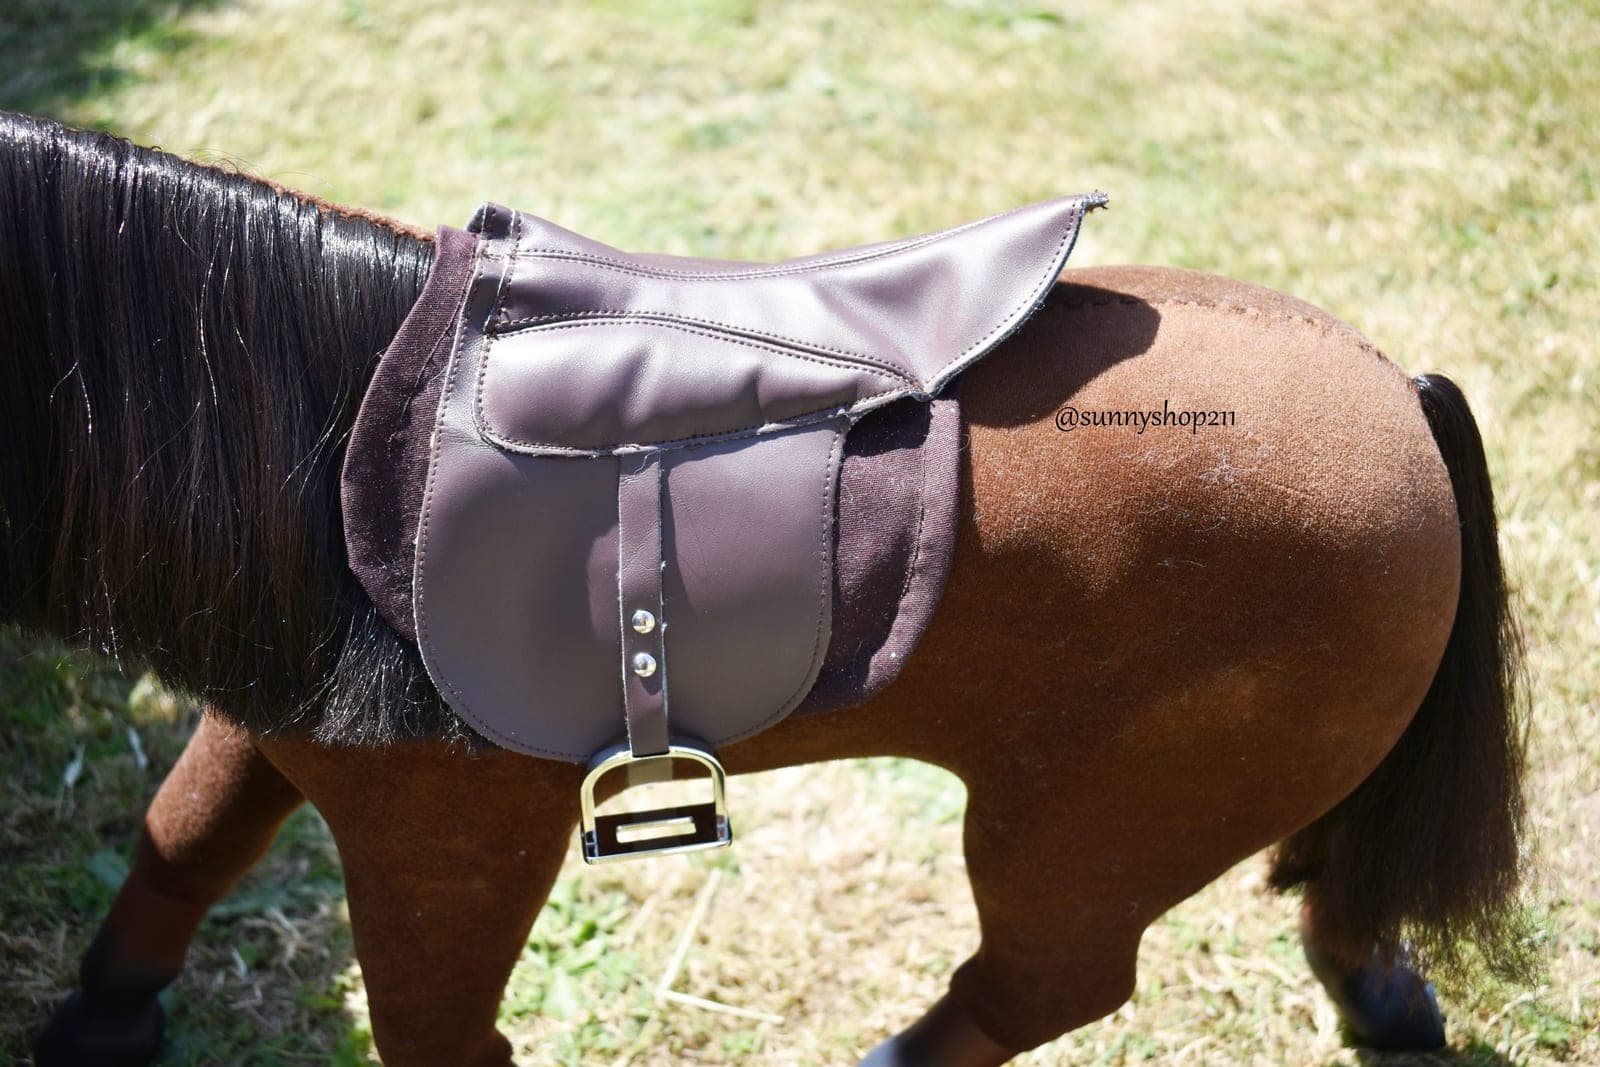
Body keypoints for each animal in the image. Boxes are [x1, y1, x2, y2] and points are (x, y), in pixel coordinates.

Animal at [1, 112, 1527, 1066]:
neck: (333, 425)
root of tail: (1401, 392)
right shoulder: (272, 722)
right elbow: (181, 846)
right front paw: (97, 1022)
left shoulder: (444, 839)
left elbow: (436, 1030)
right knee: (1336, 873)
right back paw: (1383, 993)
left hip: (1086, 836)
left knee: (1048, 982)